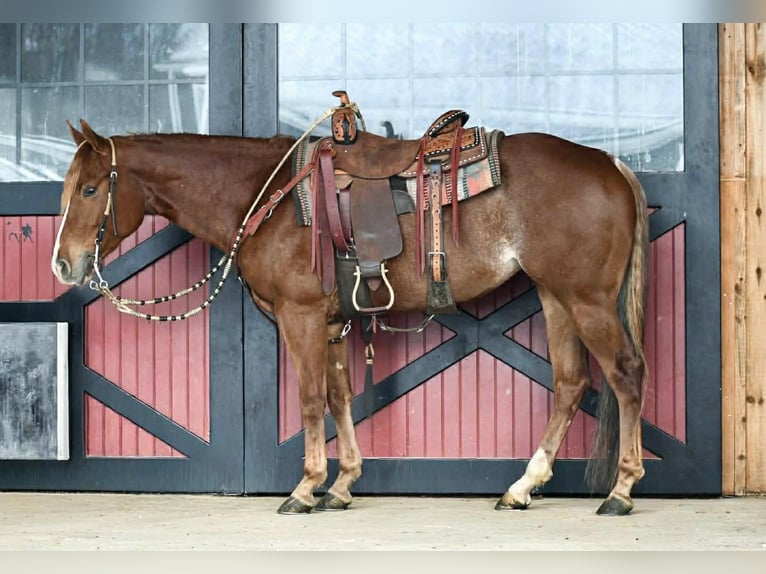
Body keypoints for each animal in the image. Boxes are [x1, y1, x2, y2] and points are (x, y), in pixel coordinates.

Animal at [51, 103, 649, 516]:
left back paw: (621, 490)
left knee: (625, 374)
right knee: (571, 382)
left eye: (89, 190)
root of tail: (610, 163)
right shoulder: (334, 322)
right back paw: (522, 488)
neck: (265, 196)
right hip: (555, 294)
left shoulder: (301, 315)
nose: (62, 265)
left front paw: (305, 487)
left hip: (588, 299)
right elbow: (339, 398)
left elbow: (311, 399)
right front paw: (340, 485)